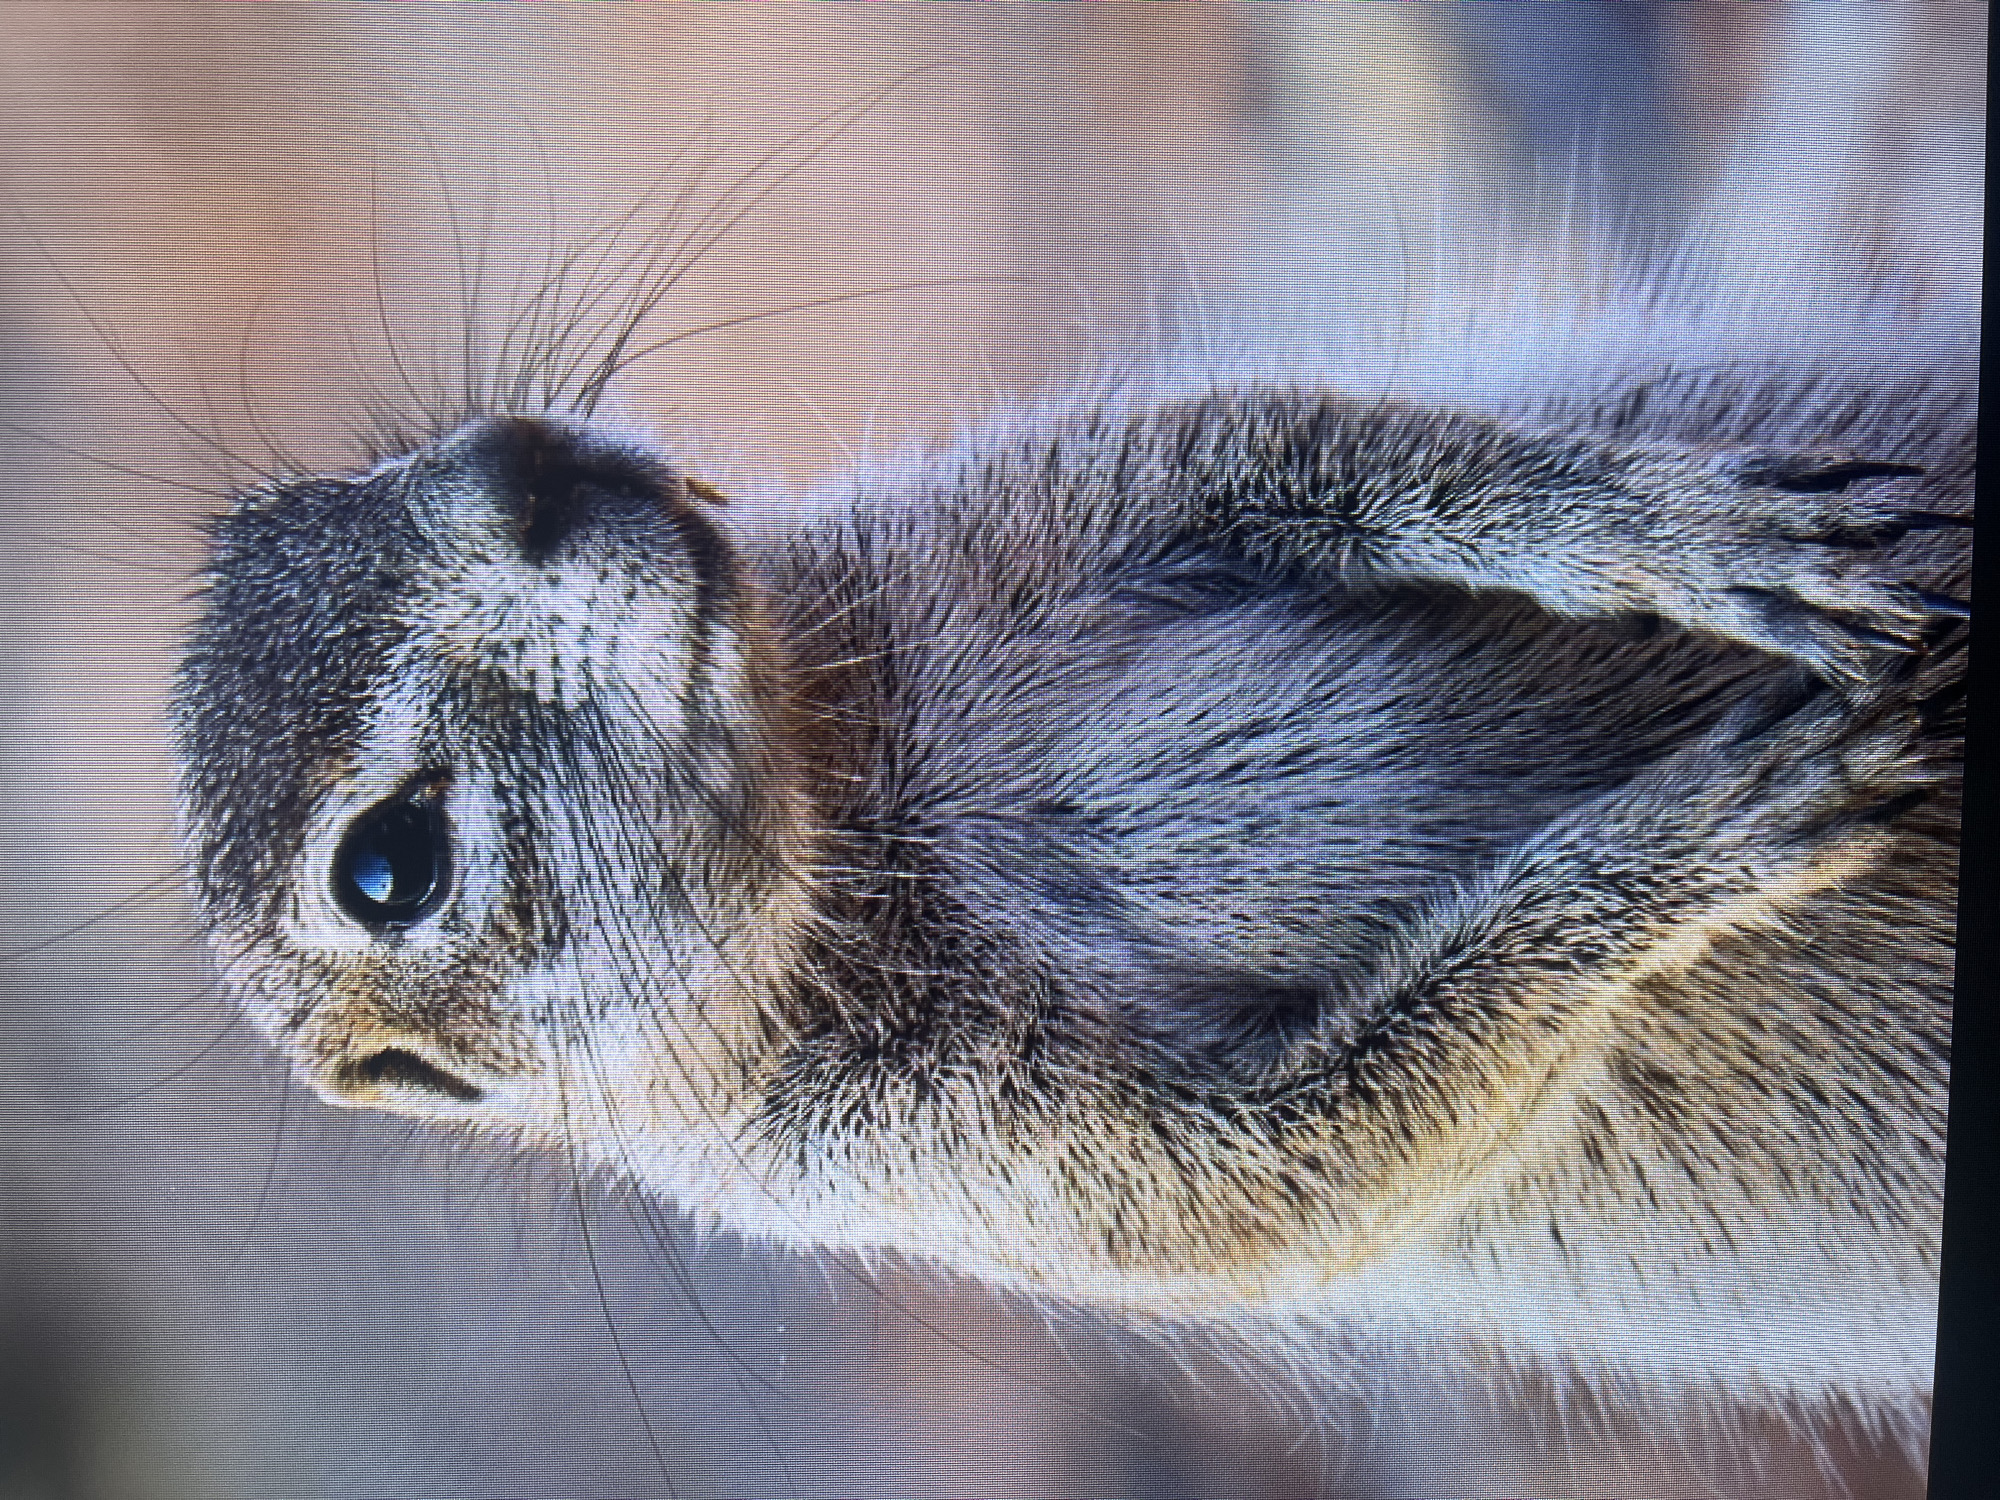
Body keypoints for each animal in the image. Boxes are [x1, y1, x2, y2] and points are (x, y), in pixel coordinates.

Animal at [171, 254, 1970, 1461]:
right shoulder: (979, 1153)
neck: (855, 774)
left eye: (358, 476)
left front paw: (1673, 532)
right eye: (385, 869)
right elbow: (1328, 1142)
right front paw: (1692, 835)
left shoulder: (1074, 489)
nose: (533, 463)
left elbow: (1333, 447)